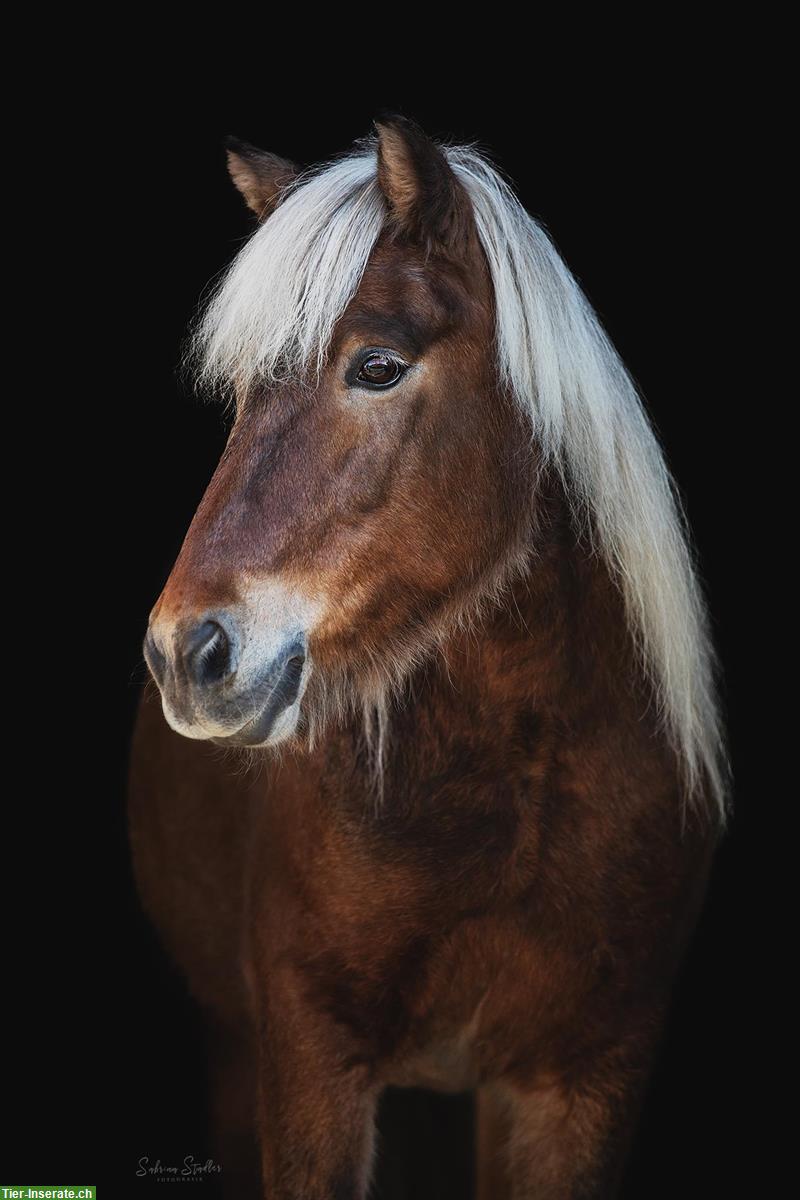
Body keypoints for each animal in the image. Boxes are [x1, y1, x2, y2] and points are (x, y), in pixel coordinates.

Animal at [126, 114, 734, 1200]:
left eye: (377, 366)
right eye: (242, 393)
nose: (184, 654)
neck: (526, 778)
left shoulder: (585, 1081)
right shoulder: (309, 1064)